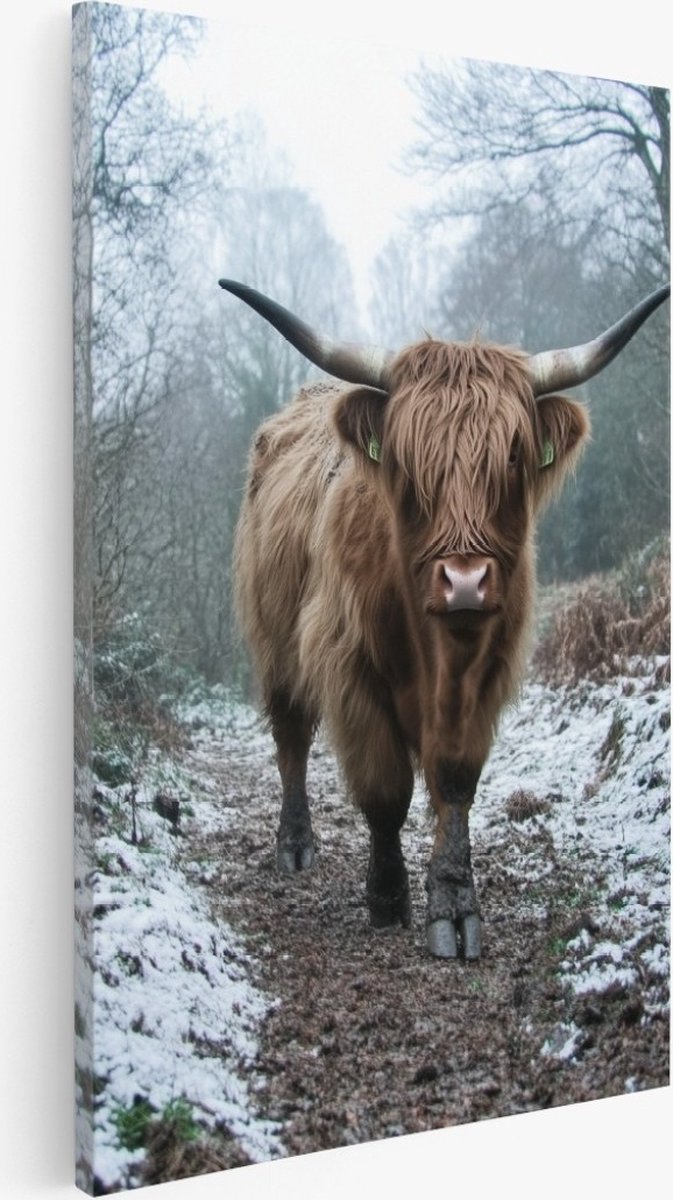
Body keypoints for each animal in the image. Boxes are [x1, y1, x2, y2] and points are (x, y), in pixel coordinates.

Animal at [219, 277, 670, 960]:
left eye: (512, 457)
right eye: (407, 462)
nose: (464, 582)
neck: (433, 650)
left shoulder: (486, 672)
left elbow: (454, 782)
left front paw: (454, 906)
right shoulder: (351, 670)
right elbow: (385, 792)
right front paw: (387, 898)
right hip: (275, 644)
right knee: (291, 736)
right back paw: (295, 845)